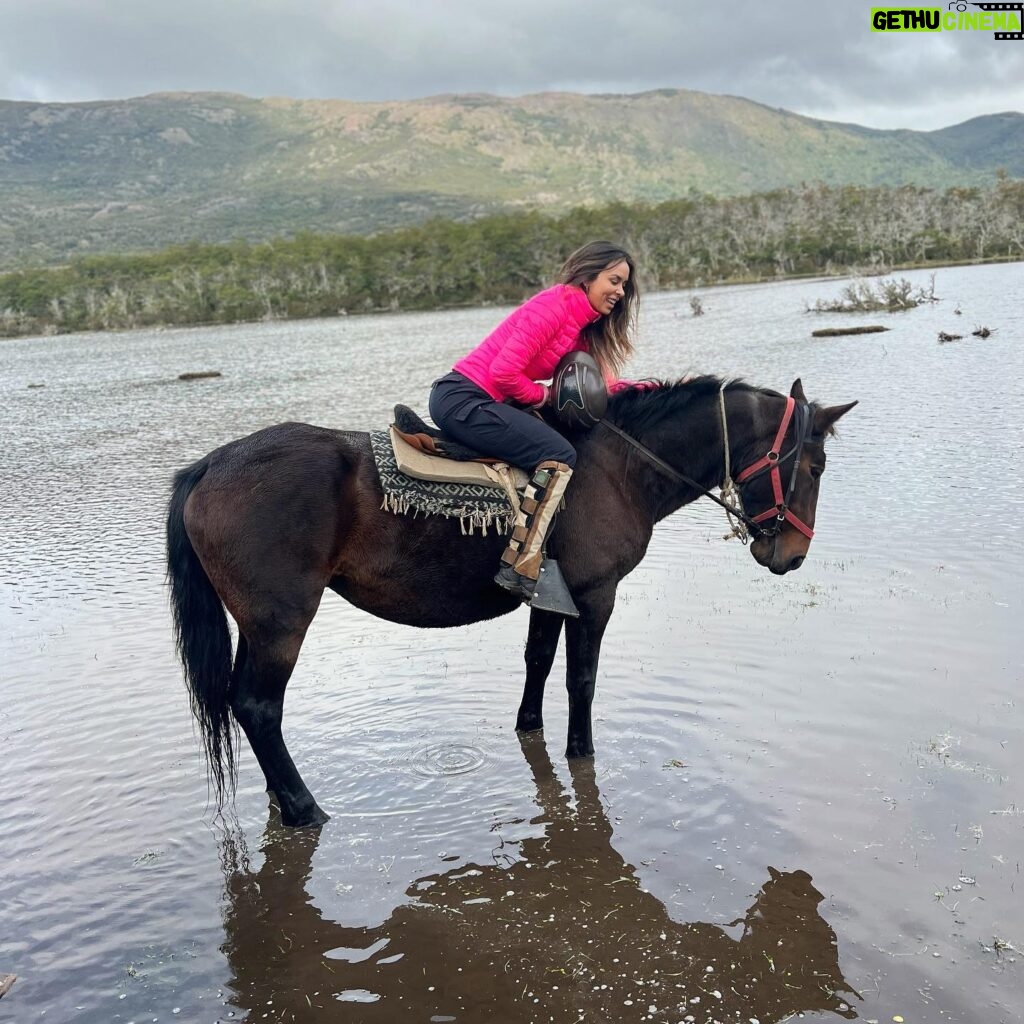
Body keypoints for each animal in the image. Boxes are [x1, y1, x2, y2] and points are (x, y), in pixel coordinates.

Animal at [165, 374, 856, 823]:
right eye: (815, 467)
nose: (791, 555)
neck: (619, 468)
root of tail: (210, 466)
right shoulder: (595, 595)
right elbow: (581, 678)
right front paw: (582, 752)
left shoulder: (552, 597)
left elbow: (539, 664)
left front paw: (532, 731)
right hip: (281, 621)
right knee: (257, 706)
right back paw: (305, 808)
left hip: (257, 625)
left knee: (240, 702)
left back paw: (281, 800)